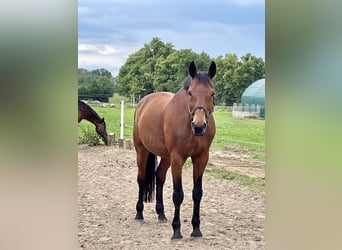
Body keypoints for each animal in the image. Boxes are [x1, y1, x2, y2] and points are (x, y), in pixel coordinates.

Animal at [132, 60, 215, 238]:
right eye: (190, 92)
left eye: (212, 94)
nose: (199, 126)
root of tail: (143, 102)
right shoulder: (178, 158)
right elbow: (178, 195)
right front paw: (176, 230)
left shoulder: (201, 158)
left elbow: (197, 193)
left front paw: (196, 229)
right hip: (142, 151)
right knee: (141, 179)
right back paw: (139, 213)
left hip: (166, 157)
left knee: (159, 177)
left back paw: (161, 214)